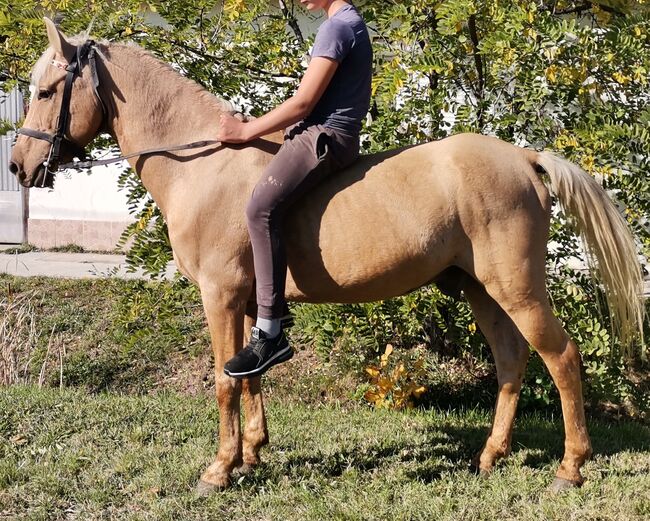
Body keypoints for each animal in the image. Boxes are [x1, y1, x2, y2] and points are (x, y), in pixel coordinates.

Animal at [10, 20, 644, 492]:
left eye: (44, 91)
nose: (18, 166)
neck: (204, 165)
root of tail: (524, 158)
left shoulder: (219, 295)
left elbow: (223, 381)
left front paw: (219, 469)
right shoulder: (248, 300)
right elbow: (249, 375)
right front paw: (252, 453)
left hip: (516, 286)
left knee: (561, 356)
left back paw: (570, 467)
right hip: (478, 289)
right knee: (512, 361)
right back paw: (491, 456)